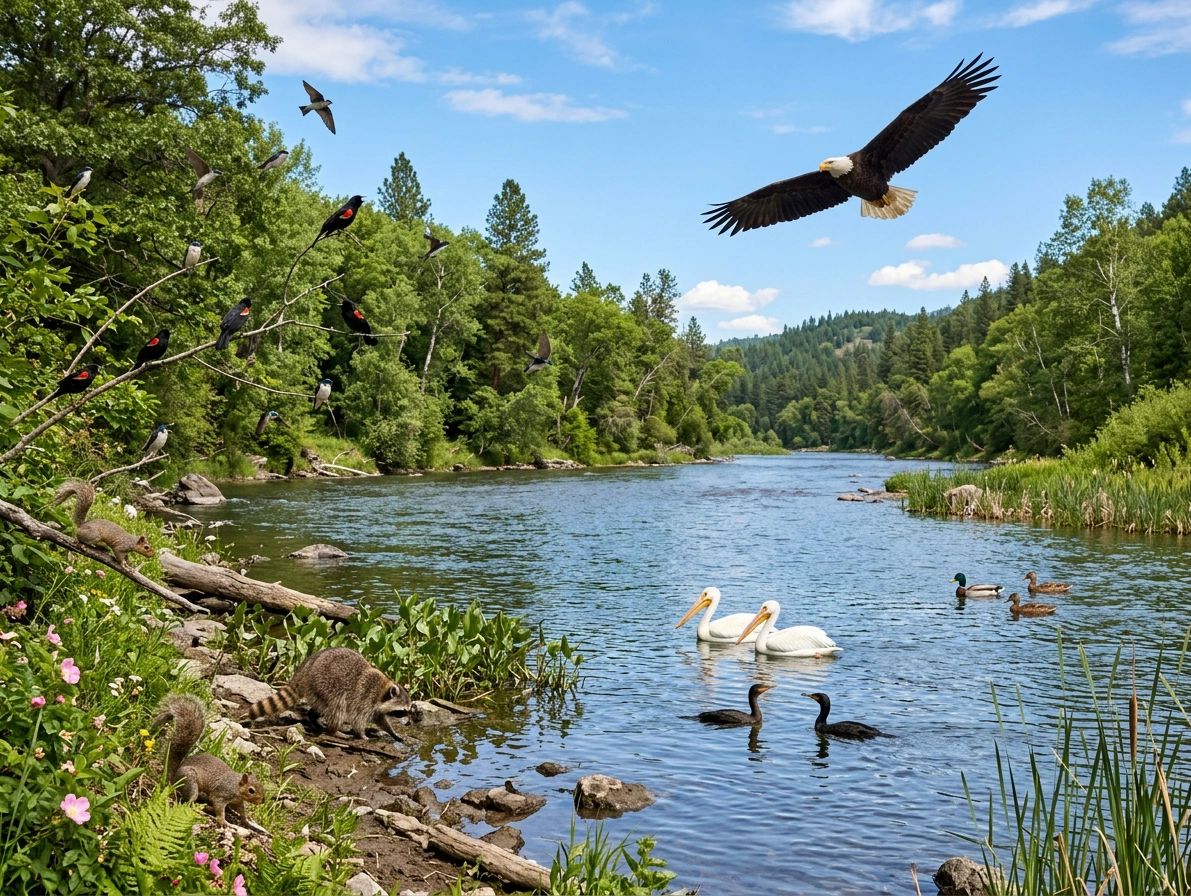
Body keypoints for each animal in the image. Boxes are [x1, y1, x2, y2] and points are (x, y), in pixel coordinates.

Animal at [245, 647, 412, 738]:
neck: (382, 691)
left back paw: (314, 718)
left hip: (317, 691)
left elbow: (380, 720)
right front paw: (362, 734)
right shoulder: (365, 697)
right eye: (402, 711)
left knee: (322, 707)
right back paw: (334, 731)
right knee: (338, 708)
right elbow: (358, 719)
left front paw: (393, 733)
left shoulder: (376, 707)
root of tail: (306, 667)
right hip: (325, 684)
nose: (410, 722)